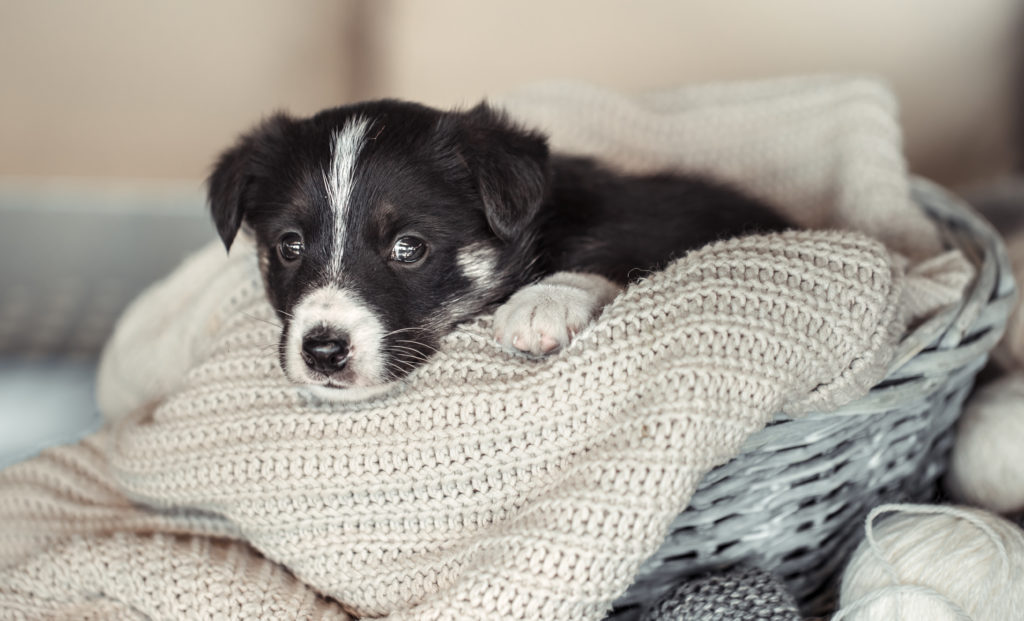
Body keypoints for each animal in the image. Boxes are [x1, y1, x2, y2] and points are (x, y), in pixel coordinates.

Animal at [203, 97, 786, 399]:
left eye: (409, 248)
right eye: (290, 245)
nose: (323, 350)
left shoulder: (654, 230)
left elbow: (614, 257)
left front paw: (542, 304)